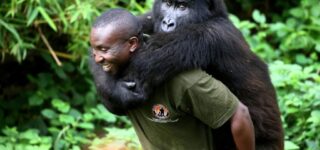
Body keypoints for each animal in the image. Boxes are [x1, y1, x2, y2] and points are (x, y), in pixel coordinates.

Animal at [89, 0, 284, 149]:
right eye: (168, 4)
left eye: (183, 7)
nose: (167, 23)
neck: (213, 16)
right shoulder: (150, 19)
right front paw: (116, 92)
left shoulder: (209, 34)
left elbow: (138, 64)